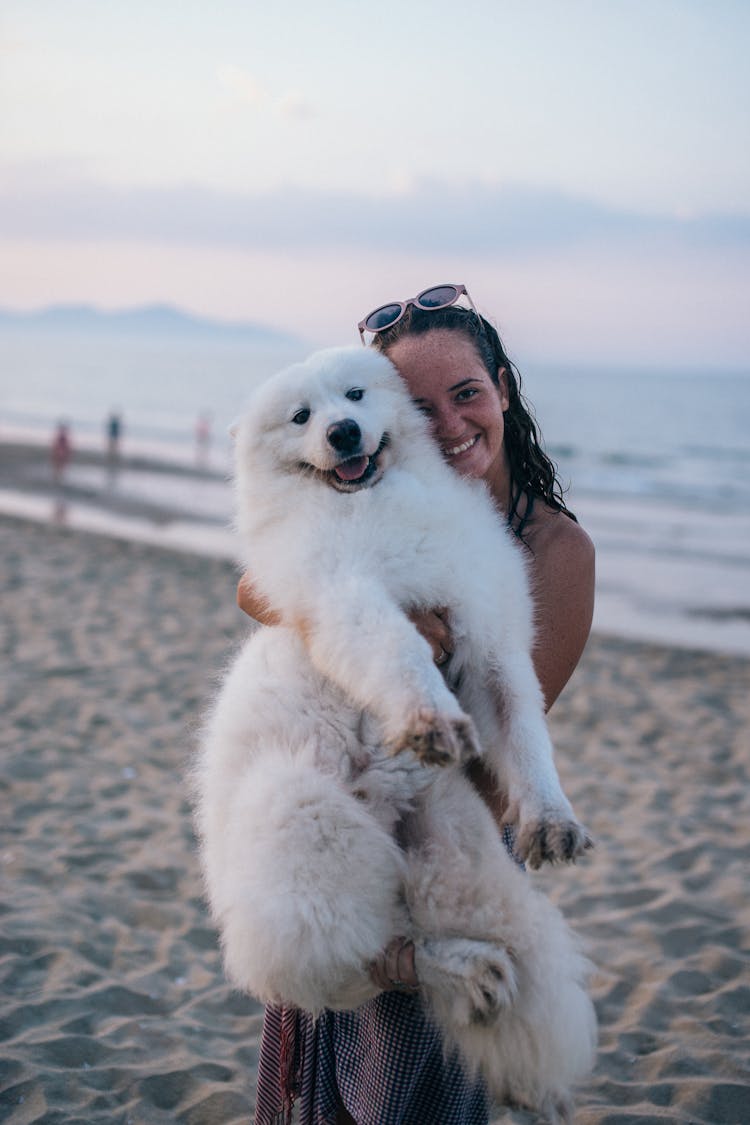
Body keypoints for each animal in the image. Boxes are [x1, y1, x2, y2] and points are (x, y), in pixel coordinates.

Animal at [195, 346, 598, 1120]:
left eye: (355, 395)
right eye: (302, 417)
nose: (345, 433)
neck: (378, 500)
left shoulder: (492, 642)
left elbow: (526, 733)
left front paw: (552, 816)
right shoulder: (349, 594)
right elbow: (400, 651)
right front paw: (427, 716)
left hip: (452, 850)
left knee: (407, 933)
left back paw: (476, 971)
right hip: (301, 814)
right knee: (362, 959)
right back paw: (463, 972)